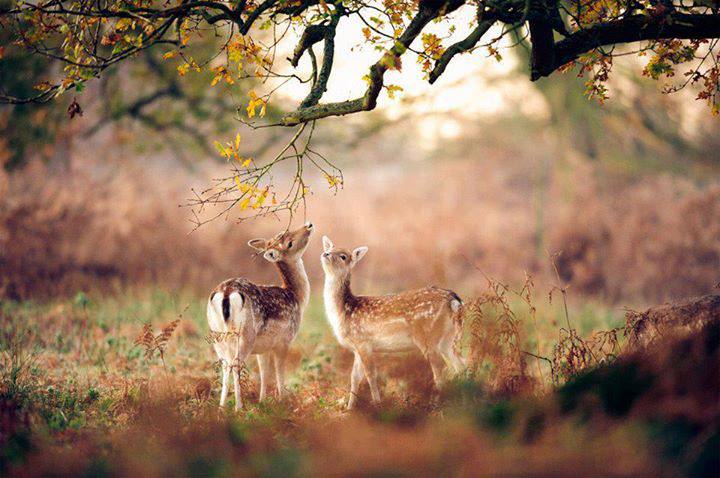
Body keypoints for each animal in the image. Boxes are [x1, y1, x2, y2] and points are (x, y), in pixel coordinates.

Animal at [207, 222, 314, 410]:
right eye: (289, 243)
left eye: (286, 232)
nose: (308, 225)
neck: (296, 297)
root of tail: (226, 293)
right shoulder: (284, 341)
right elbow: (279, 372)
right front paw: (282, 401)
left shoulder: (263, 348)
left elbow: (264, 372)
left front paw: (262, 401)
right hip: (246, 334)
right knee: (235, 363)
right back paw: (239, 407)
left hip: (217, 335)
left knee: (225, 364)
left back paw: (221, 407)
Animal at [320, 235, 466, 409]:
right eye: (330, 248)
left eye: (343, 256)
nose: (326, 253)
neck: (345, 311)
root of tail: (454, 300)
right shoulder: (356, 348)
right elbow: (354, 377)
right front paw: (349, 409)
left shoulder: (363, 341)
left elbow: (370, 375)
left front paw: (377, 404)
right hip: (448, 338)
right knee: (460, 364)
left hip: (427, 336)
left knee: (440, 368)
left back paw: (435, 405)